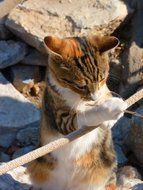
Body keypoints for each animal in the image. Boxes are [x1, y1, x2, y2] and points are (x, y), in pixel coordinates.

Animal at [27, 34, 127, 190]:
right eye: (80, 85)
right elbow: (84, 115)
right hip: (37, 166)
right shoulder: (60, 117)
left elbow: (106, 95)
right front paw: (110, 108)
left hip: (107, 165)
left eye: (102, 78)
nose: (94, 97)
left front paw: (110, 116)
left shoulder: (104, 91)